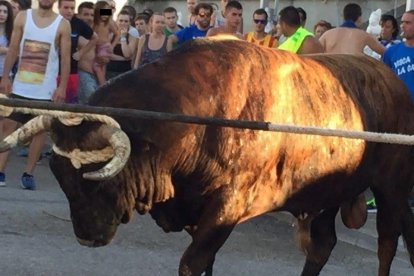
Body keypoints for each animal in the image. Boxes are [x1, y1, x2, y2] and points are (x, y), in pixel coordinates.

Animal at [3, 37, 414, 276]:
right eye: (60, 174)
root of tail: (390, 78)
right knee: (323, 246)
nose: (87, 238)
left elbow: (192, 264)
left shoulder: (227, 207)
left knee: (387, 243)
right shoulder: (196, 211)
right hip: (326, 193)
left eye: (99, 176)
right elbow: (207, 264)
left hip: (391, 186)